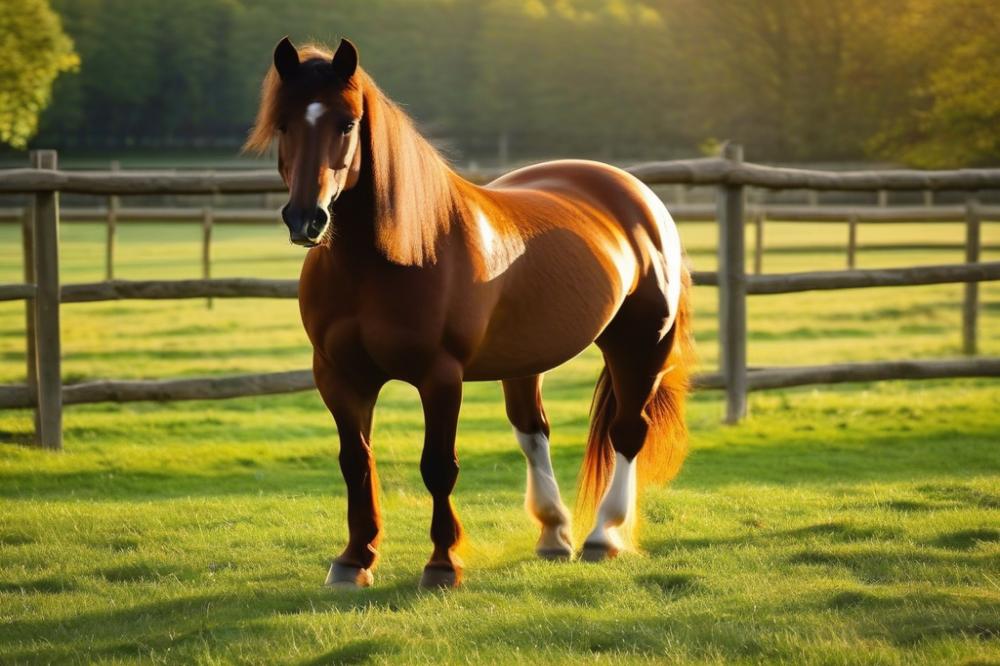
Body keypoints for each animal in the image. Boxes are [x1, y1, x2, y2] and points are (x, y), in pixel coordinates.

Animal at [245, 37, 693, 589]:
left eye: (347, 124)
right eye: (283, 124)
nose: (307, 219)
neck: (387, 258)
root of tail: (640, 197)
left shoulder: (440, 377)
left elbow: (438, 466)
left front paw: (442, 564)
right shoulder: (338, 376)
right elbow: (355, 462)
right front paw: (354, 559)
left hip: (640, 343)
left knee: (627, 433)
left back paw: (602, 536)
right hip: (526, 361)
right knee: (533, 431)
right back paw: (553, 535)